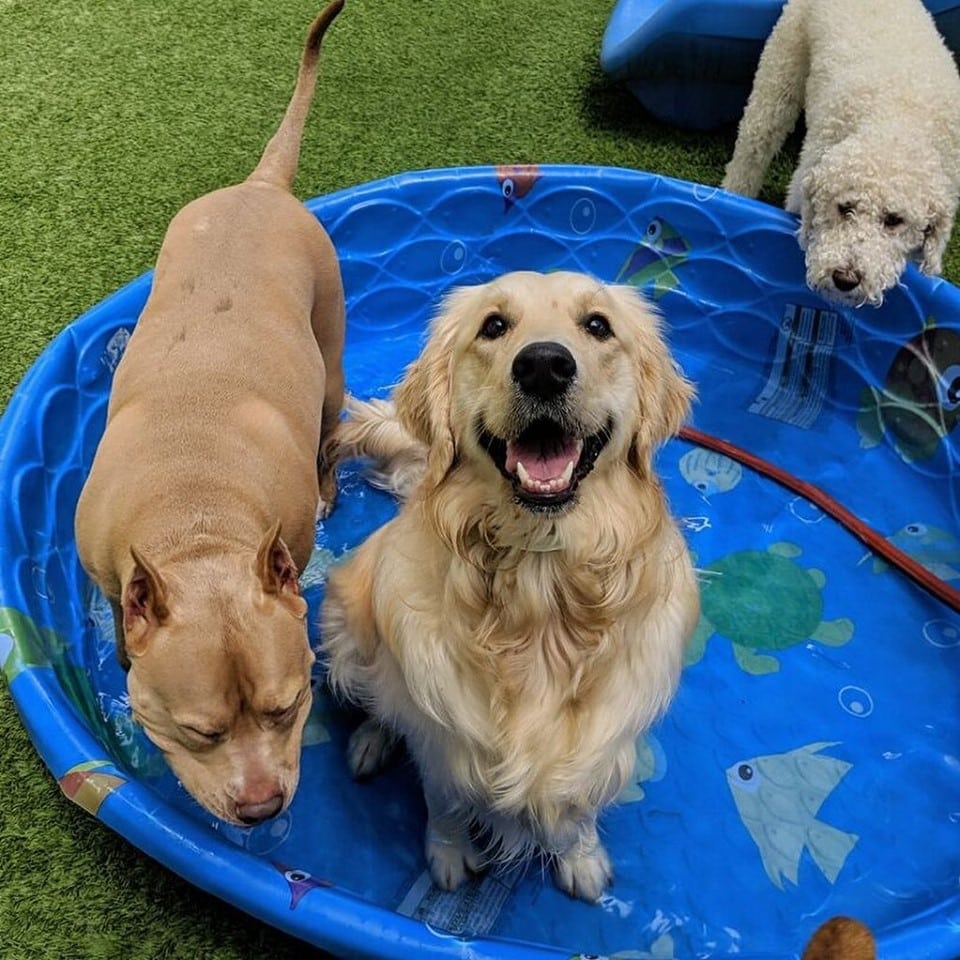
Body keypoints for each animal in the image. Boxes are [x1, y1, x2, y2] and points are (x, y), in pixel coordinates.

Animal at [74, 0, 344, 824]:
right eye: (200, 731)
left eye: (288, 708)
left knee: (332, 431)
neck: (197, 519)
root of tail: (261, 187)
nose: (260, 807)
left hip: (331, 344)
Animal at [724, 0, 960, 304]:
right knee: (754, 145)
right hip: (782, 67)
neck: (895, 123)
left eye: (894, 220)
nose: (845, 278)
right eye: (844, 207)